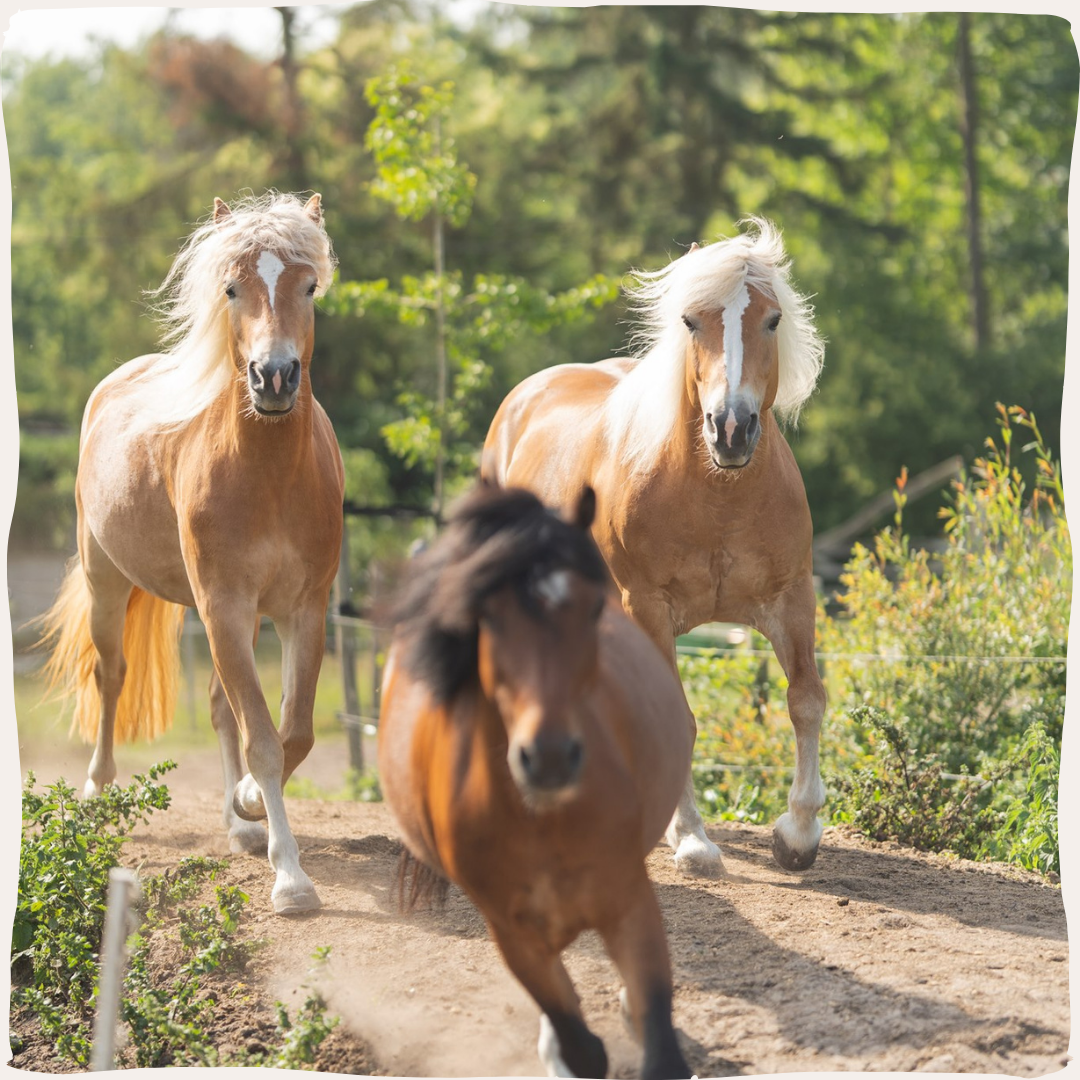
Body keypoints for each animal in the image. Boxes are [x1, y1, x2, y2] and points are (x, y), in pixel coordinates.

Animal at [38, 191, 344, 914]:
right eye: (232, 288)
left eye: (309, 286)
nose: (273, 377)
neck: (269, 476)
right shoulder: (225, 606)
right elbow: (263, 738)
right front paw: (291, 878)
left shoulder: (302, 611)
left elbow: (291, 732)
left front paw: (252, 809)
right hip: (106, 583)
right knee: (110, 676)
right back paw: (96, 790)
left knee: (217, 707)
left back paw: (239, 823)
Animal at [378, 482, 693, 1080]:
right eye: (489, 615)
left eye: (592, 609)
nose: (548, 758)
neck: (542, 821)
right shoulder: (514, 932)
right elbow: (579, 1043)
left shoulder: (628, 900)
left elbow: (660, 1045)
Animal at [482, 218, 828, 877]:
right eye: (691, 321)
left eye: (772, 319)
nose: (731, 429)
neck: (719, 496)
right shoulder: (647, 606)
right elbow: (676, 718)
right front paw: (691, 839)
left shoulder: (791, 601)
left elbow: (806, 701)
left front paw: (797, 833)